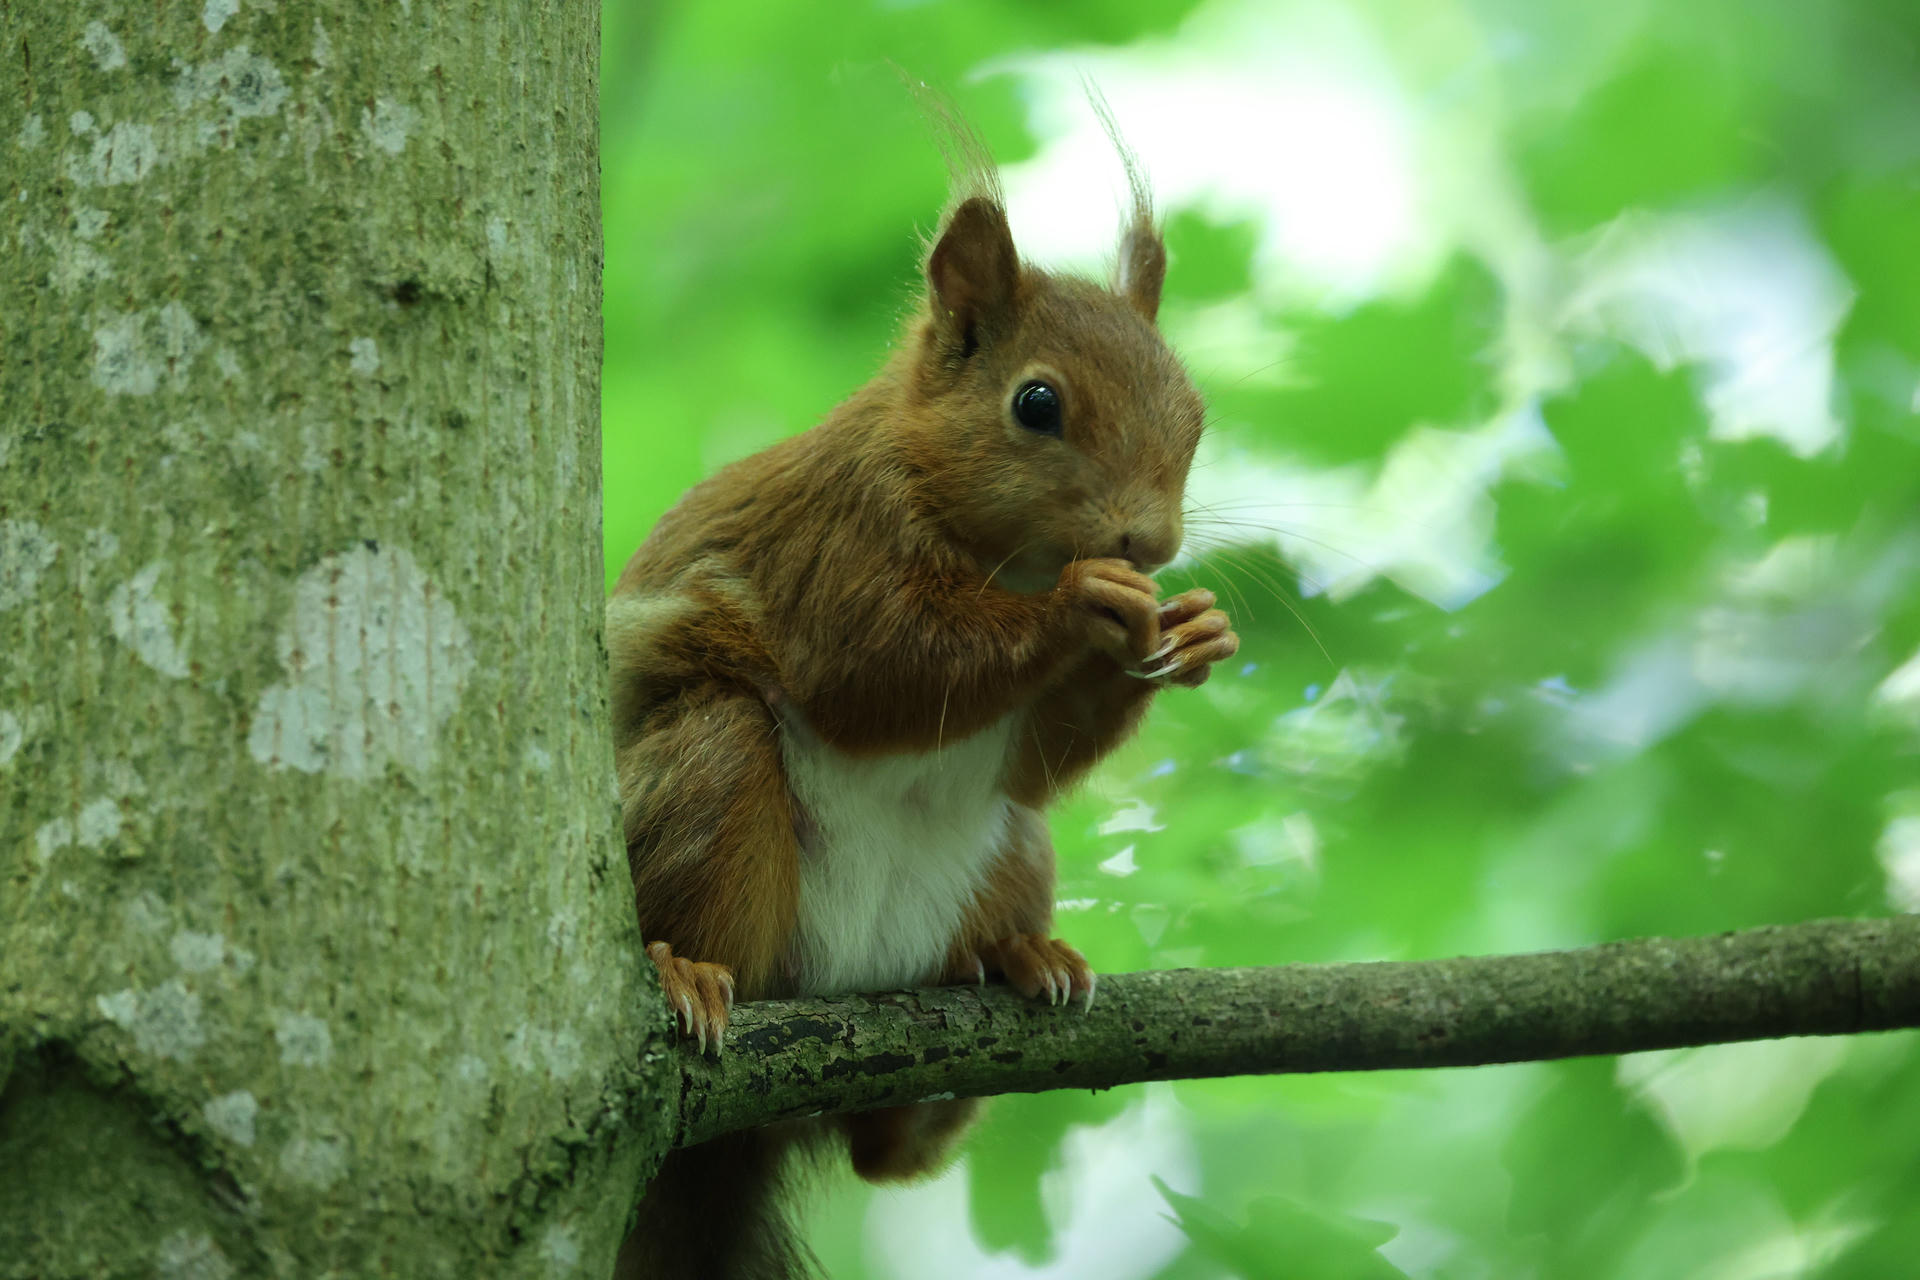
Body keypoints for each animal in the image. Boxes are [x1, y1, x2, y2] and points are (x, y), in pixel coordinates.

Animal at [606, 122, 1239, 1279]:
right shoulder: (833, 545)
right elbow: (885, 672)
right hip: (709, 781)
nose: (1151, 543)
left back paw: (1019, 970)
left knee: (884, 1152)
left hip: (1013, 854)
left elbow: (1037, 758)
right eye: (1036, 404)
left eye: (1197, 418)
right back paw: (685, 971)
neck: (1010, 557)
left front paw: (1198, 630)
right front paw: (1087, 605)